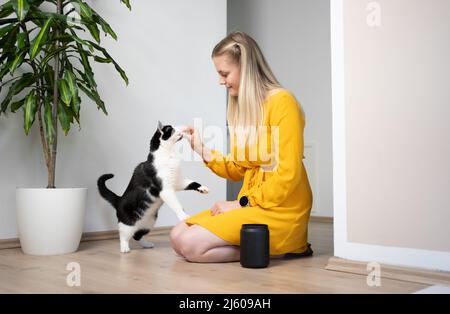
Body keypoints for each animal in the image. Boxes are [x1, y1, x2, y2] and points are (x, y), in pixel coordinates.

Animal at [97, 121, 208, 254]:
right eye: (172, 129)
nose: (181, 129)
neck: (168, 154)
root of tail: (118, 200)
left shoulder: (177, 182)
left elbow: (191, 182)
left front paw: (202, 188)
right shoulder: (166, 190)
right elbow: (177, 204)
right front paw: (183, 215)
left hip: (149, 223)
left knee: (137, 235)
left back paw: (146, 244)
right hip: (128, 223)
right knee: (124, 235)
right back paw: (124, 248)